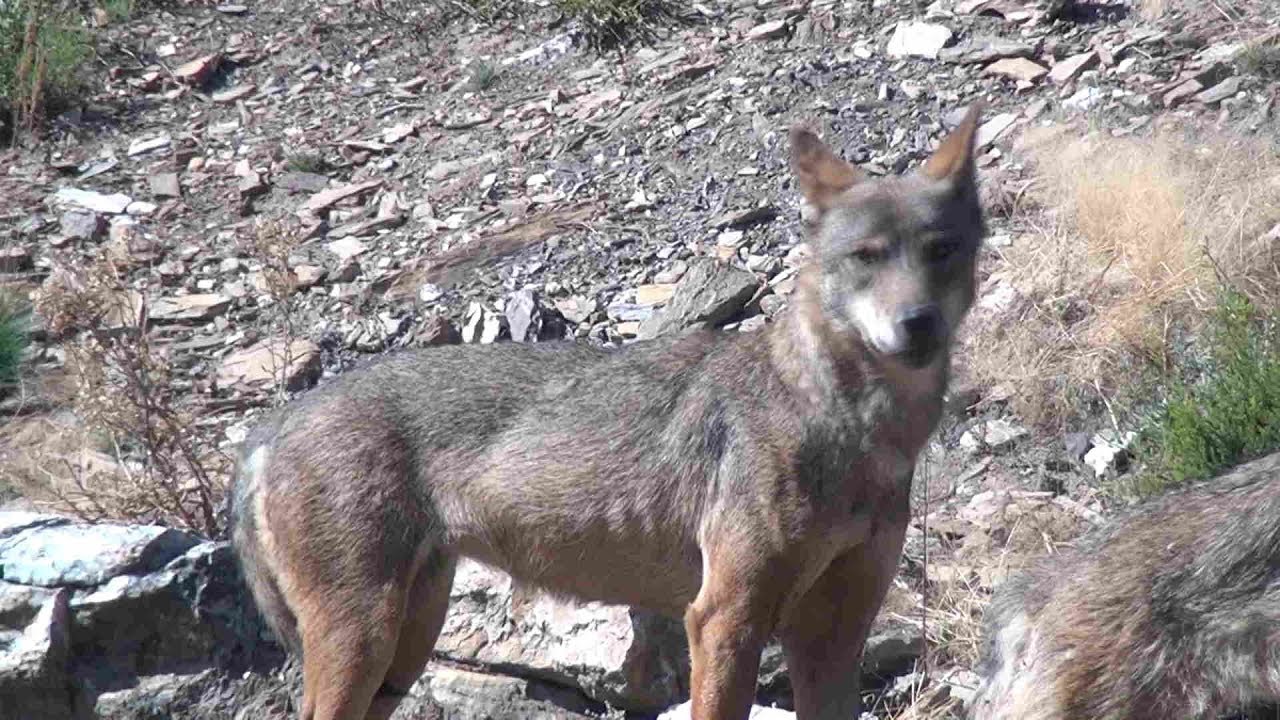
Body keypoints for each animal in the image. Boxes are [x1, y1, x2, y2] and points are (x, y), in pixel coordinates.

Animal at [230, 102, 988, 717]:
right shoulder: (723, 620)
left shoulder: (831, 637)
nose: (917, 324)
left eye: (941, 251)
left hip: (404, 649)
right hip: (367, 638)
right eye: (866, 257)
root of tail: (272, 428)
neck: (855, 432)